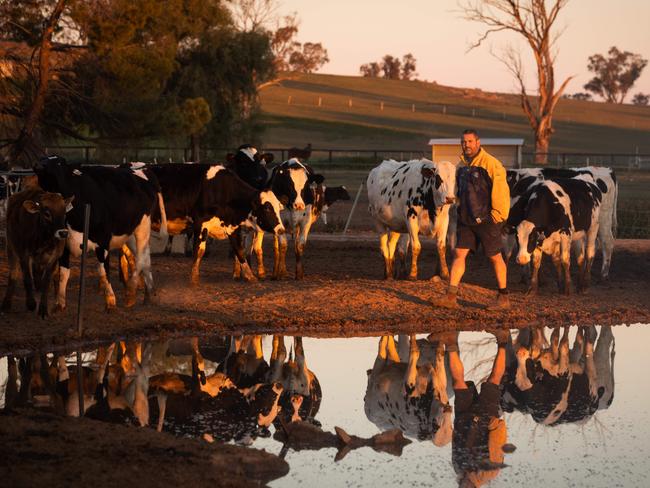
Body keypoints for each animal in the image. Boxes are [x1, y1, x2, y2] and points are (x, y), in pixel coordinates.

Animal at [0, 189, 72, 318]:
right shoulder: (24, 254)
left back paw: (57, 303)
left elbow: (46, 281)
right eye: (47, 213)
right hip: (10, 247)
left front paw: (43, 309)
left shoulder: (54, 257)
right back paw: (6, 304)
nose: (63, 233)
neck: (42, 238)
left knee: (53, 276)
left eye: (64, 212)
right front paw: (31, 303)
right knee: (13, 274)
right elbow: (27, 278)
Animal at [33, 154, 166, 310]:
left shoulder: (103, 242)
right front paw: (60, 303)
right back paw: (149, 294)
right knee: (145, 258)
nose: (38, 165)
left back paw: (130, 293)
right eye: (42, 158)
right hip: (130, 234)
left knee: (140, 258)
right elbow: (64, 273)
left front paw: (111, 300)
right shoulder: (63, 243)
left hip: (142, 227)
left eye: (59, 162)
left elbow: (103, 270)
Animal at [147, 164, 284, 284]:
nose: (281, 230)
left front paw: (251, 277)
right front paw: (194, 279)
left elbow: (239, 251)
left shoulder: (232, 227)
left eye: (278, 207)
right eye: (267, 208)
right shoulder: (201, 225)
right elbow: (199, 251)